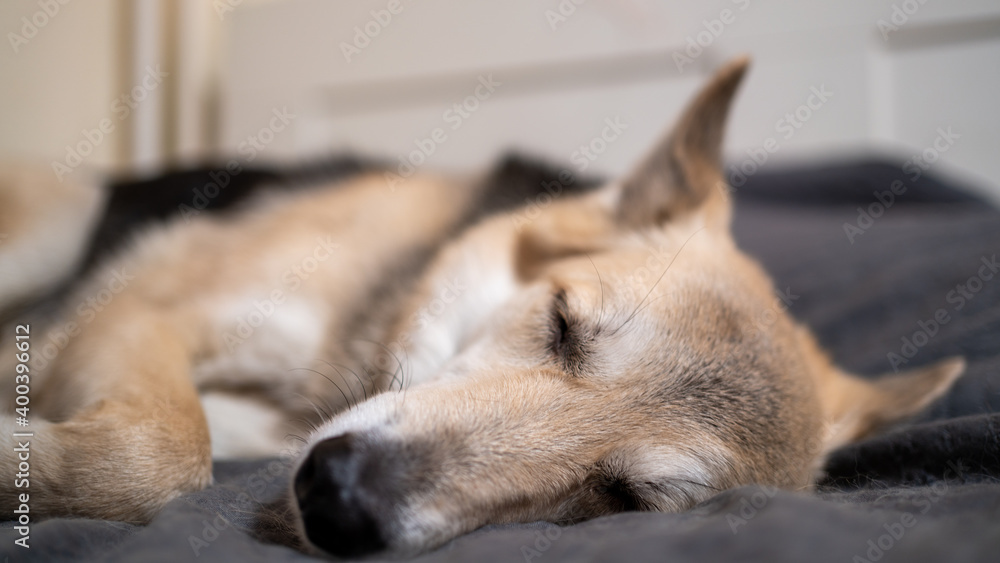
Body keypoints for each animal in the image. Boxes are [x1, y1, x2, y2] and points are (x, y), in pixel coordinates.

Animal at [3, 59, 964, 556]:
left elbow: (170, 454)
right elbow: (159, 455)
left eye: (623, 496)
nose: (337, 497)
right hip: (48, 236)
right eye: (563, 324)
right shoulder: (139, 311)